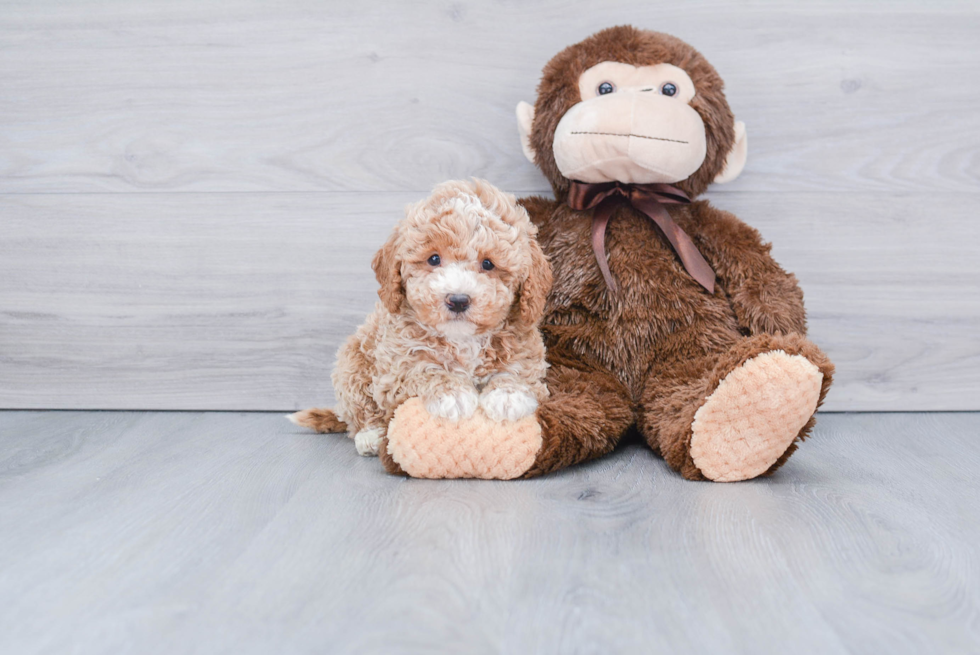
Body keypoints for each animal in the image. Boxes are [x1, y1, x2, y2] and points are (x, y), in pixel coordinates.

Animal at [290, 179, 552, 456]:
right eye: (434, 259)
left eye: (488, 264)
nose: (458, 300)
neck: (462, 339)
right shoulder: (395, 368)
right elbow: (424, 370)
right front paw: (451, 393)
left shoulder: (525, 350)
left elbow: (517, 372)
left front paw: (508, 395)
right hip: (352, 365)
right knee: (359, 409)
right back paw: (369, 436)